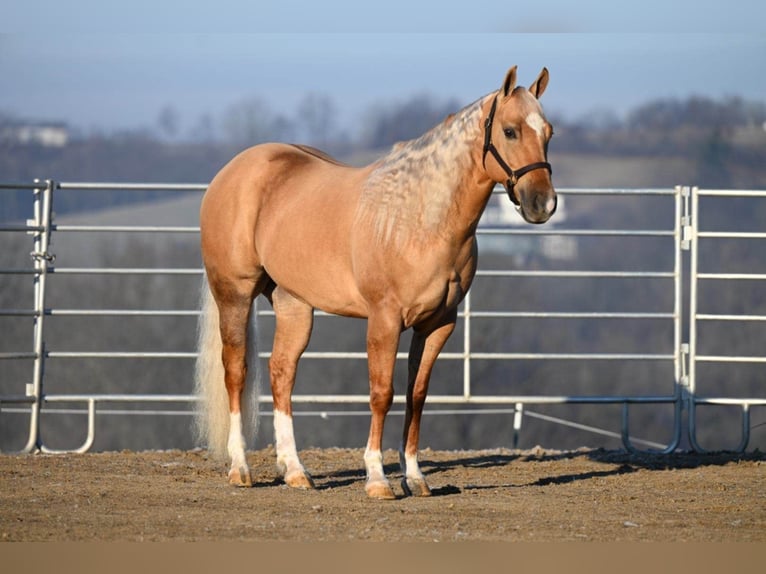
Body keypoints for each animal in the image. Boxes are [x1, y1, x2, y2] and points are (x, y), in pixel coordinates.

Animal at [195, 66, 560, 500]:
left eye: (549, 132)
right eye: (509, 131)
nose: (543, 204)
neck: (418, 219)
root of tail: (232, 171)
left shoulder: (438, 324)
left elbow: (416, 395)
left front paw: (415, 477)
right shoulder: (384, 320)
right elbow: (382, 393)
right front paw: (377, 478)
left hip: (293, 303)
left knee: (282, 372)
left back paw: (295, 470)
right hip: (234, 294)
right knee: (236, 371)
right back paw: (240, 468)